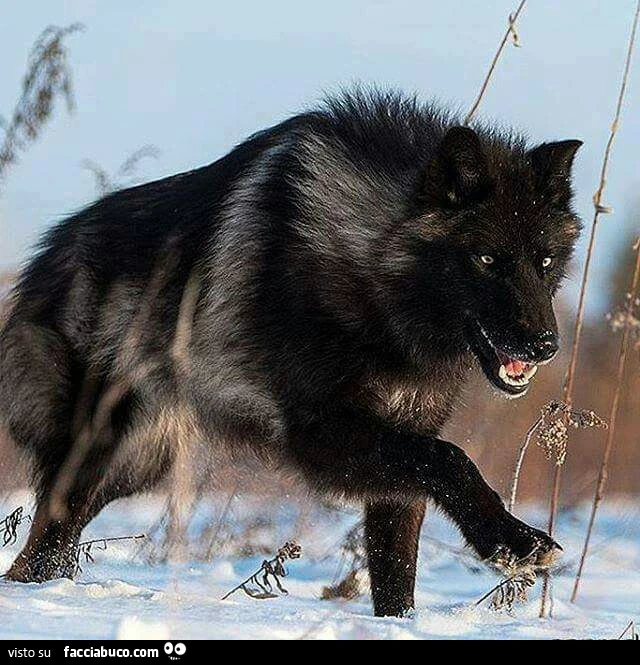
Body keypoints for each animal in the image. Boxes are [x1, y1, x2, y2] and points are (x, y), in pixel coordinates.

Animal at [0, 90, 582, 617]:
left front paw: (402, 624)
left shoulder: (403, 445)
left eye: (545, 261)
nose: (545, 345)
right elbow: (453, 459)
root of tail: (45, 259)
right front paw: (515, 543)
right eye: (486, 259)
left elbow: (398, 570)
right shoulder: (320, 434)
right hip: (98, 453)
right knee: (41, 548)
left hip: (137, 465)